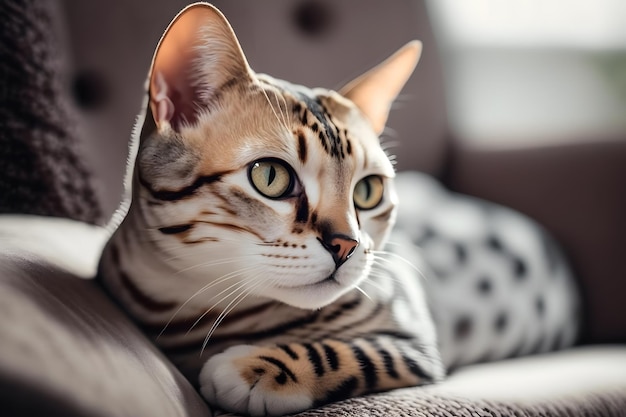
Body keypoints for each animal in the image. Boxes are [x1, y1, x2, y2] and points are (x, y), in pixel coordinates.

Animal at [97, 1, 580, 414]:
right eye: (270, 177)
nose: (347, 245)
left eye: (368, 191)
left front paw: (256, 368)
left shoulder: (415, 341)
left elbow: (355, 352)